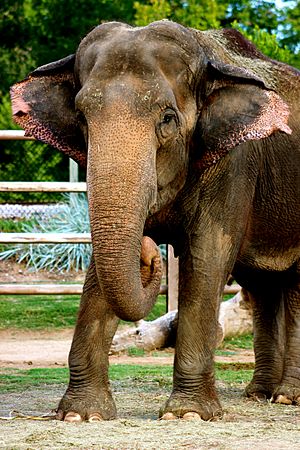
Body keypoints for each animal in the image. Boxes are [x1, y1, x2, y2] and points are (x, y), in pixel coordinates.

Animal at [9, 21, 300, 422]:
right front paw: (82, 415)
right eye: (81, 117)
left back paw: (287, 397)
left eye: (167, 119)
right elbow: (100, 271)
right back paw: (259, 395)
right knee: (263, 285)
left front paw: (186, 414)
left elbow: (206, 257)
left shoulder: (234, 162)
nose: (149, 253)